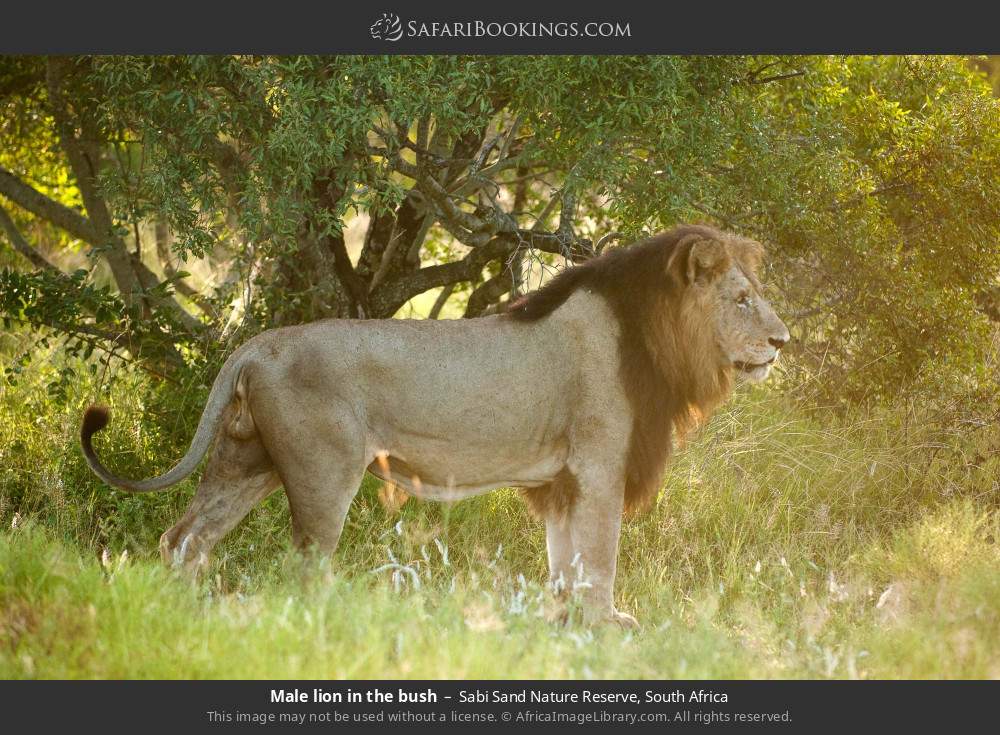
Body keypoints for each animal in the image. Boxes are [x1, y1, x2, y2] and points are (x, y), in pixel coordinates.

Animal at [81, 224, 789, 627]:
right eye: (742, 300)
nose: (782, 341)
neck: (656, 333)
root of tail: (257, 346)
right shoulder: (599, 464)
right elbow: (601, 557)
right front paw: (607, 627)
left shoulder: (561, 480)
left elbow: (564, 562)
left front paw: (563, 628)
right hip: (323, 472)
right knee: (304, 566)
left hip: (245, 463)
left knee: (184, 539)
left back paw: (181, 617)